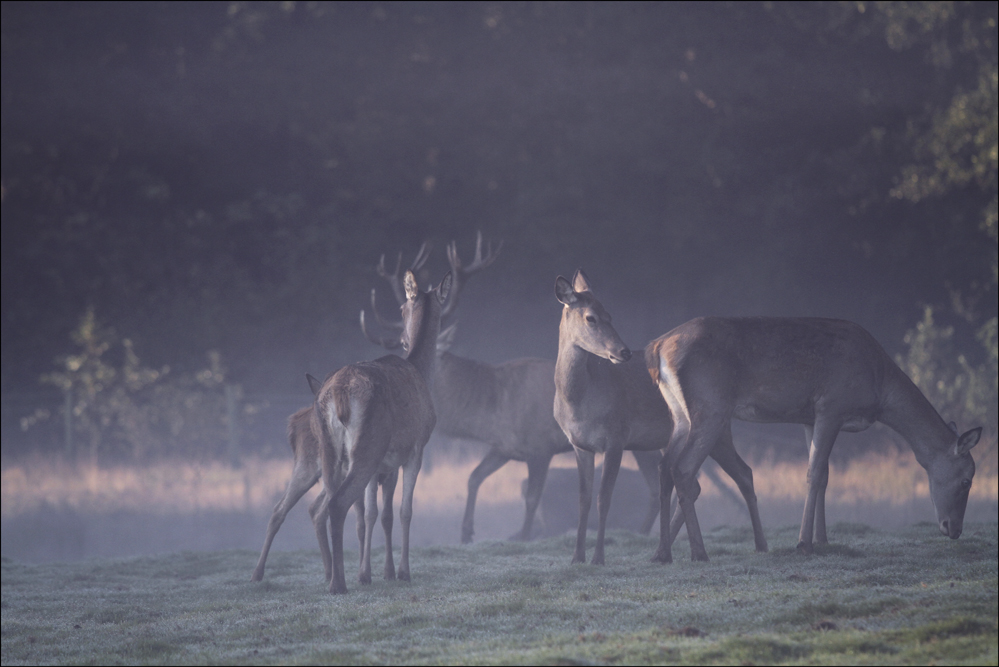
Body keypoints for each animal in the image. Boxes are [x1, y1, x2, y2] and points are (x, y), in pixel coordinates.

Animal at [312, 268, 454, 592]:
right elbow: (404, 511)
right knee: (337, 504)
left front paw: (372, 573)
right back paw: (337, 583)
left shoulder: (385, 464)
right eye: (401, 308)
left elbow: (376, 514)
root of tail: (338, 393)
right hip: (368, 444)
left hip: (330, 449)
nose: (402, 340)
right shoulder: (415, 449)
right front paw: (401, 571)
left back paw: (336, 575)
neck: (421, 373)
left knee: (328, 505)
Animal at [364, 235, 668, 544]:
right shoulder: (504, 447)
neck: (492, 409)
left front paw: (523, 536)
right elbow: (473, 477)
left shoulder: (540, 446)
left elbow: (532, 498)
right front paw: (466, 532)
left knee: (655, 486)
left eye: (412, 350)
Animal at [552, 268, 768, 568]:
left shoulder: (616, 437)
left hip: (716, 427)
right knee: (694, 482)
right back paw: (662, 550)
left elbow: (604, 499)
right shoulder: (580, 445)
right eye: (590, 317)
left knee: (743, 473)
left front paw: (598, 558)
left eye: (610, 315)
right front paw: (576, 558)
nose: (623, 352)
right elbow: (583, 500)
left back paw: (759, 545)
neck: (578, 401)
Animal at [648, 316, 984, 556]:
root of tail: (658, 347)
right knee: (683, 468)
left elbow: (824, 475)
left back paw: (663, 553)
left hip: (680, 414)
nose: (953, 529)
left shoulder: (809, 417)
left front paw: (821, 539)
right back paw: (698, 552)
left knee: (665, 467)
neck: (880, 386)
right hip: (710, 407)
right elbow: (813, 473)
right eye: (967, 480)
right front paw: (804, 543)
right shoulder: (831, 406)